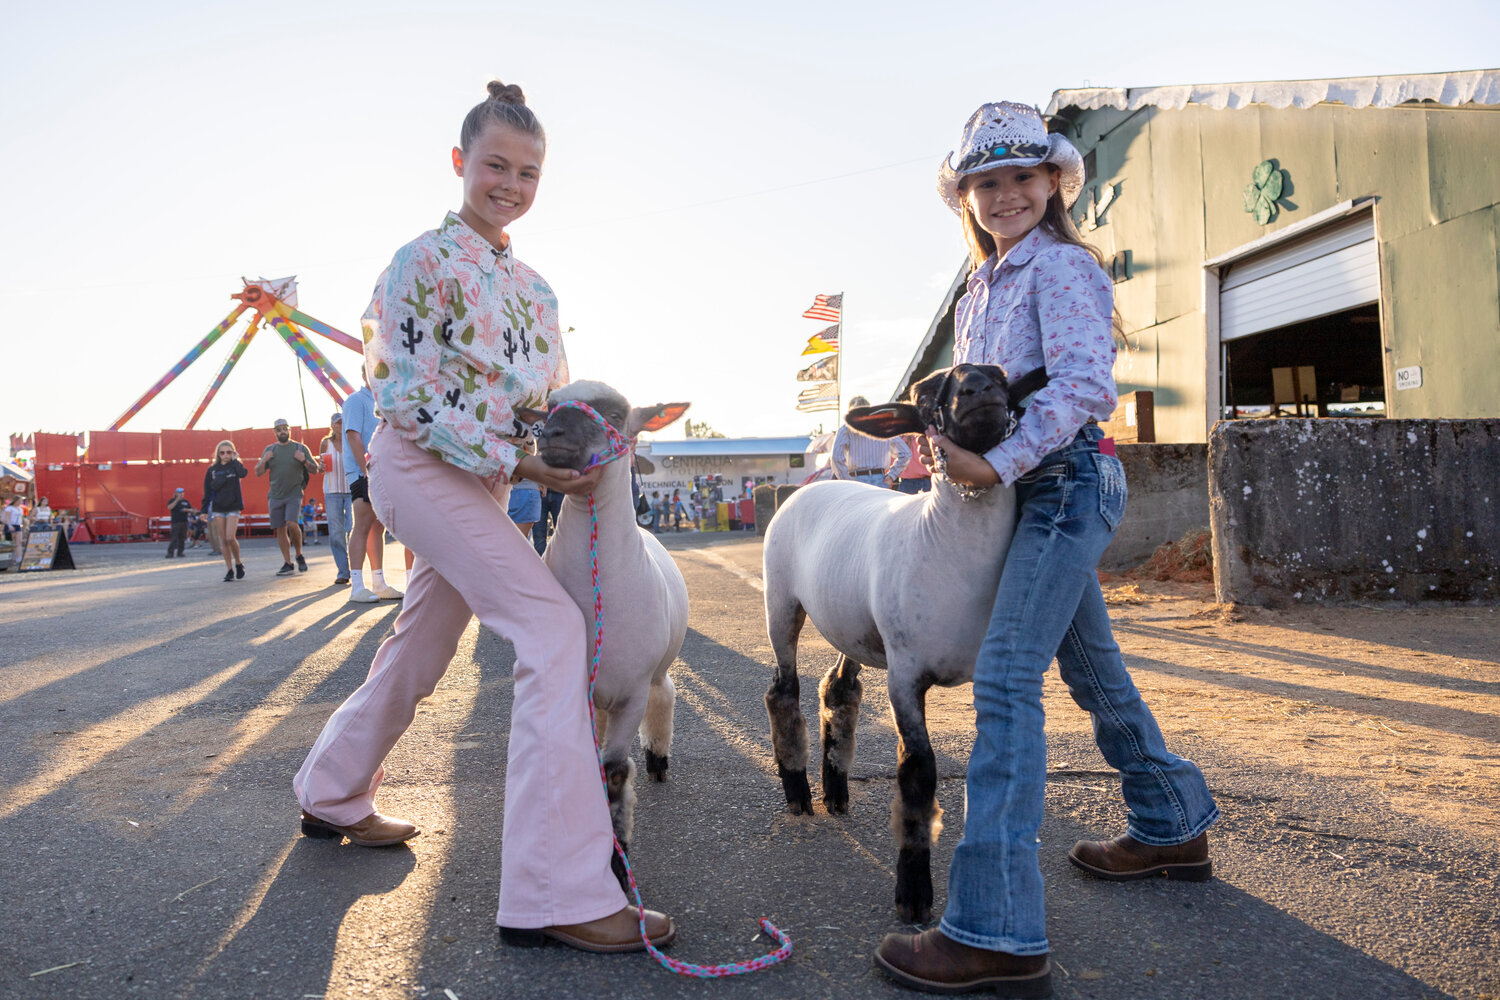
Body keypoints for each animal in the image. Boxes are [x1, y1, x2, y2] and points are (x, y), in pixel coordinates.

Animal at [762, 361, 1044, 923]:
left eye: (1002, 376)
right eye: (927, 394)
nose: (978, 390)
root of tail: (808, 487)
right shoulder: (906, 675)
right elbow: (918, 773)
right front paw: (913, 893)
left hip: (853, 624)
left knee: (838, 690)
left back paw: (836, 789)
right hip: (781, 602)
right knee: (784, 691)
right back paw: (799, 790)